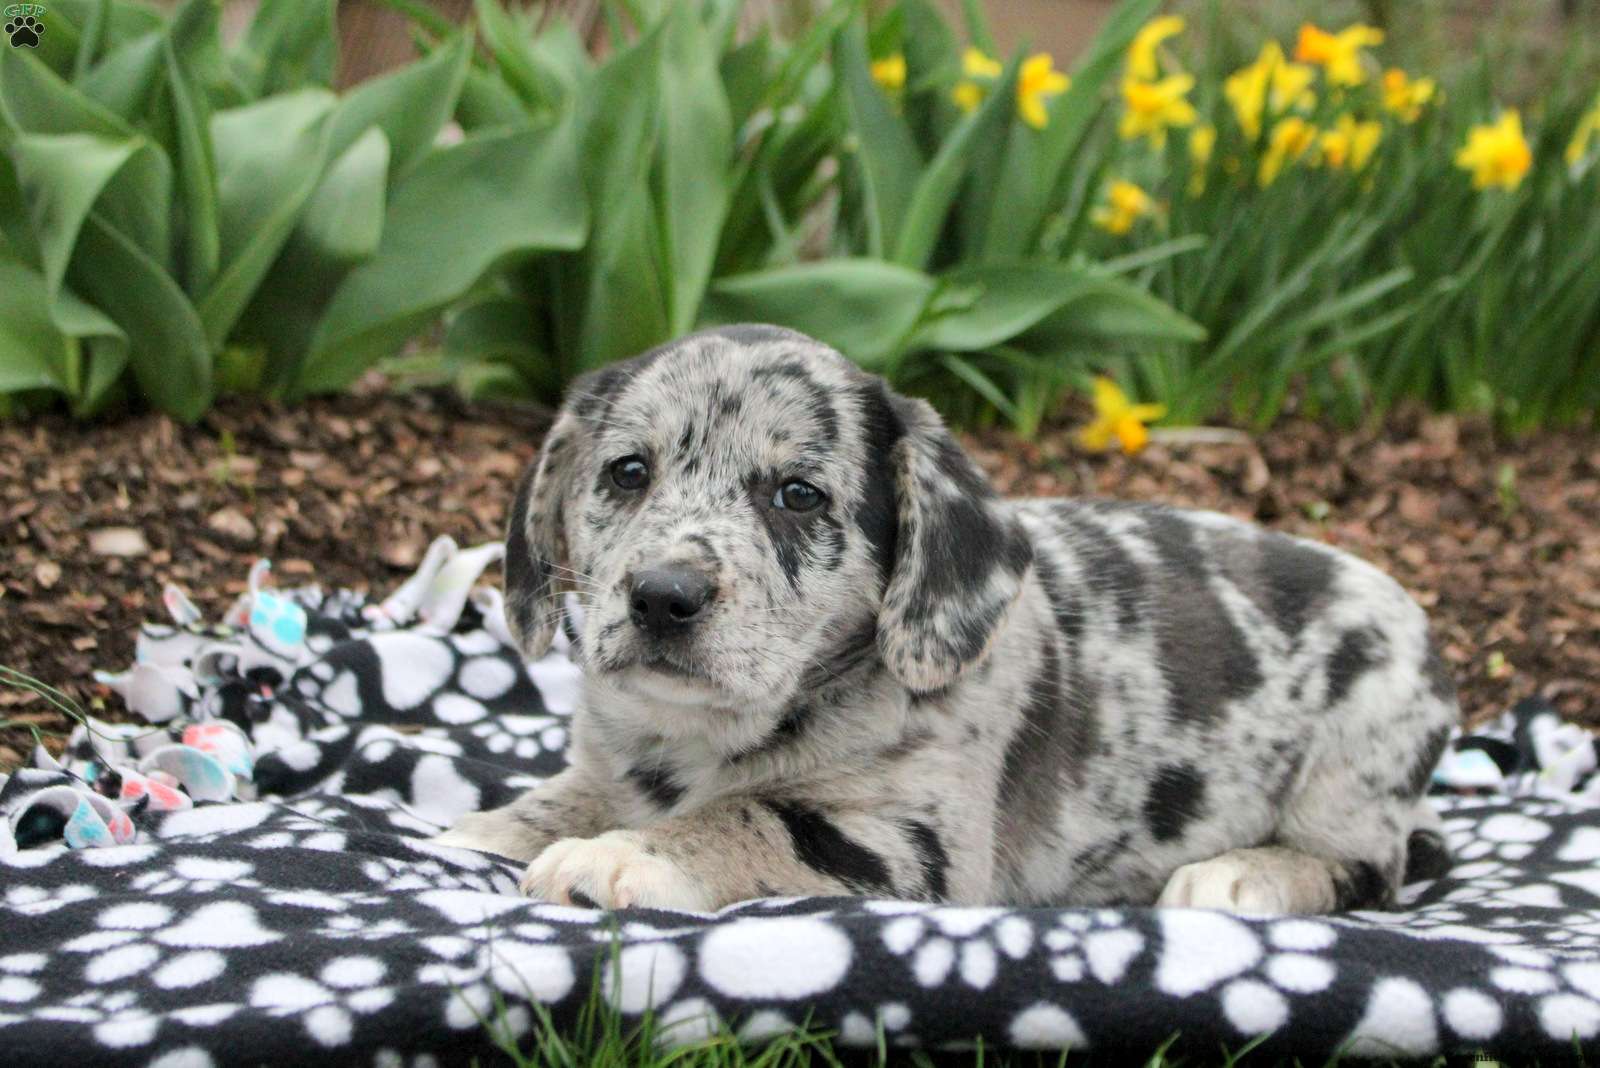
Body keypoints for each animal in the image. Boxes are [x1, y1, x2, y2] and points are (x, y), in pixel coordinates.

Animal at [432, 325, 1459, 915]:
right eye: (628, 472)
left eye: (798, 495)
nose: (661, 595)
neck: (694, 740)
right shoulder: (610, 768)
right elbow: (558, 798)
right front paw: (481, 830)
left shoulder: (911, 841)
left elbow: (745, 820)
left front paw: (622, 859)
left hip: (1352, 769)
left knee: (1372, 871)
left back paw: (1244, 876)